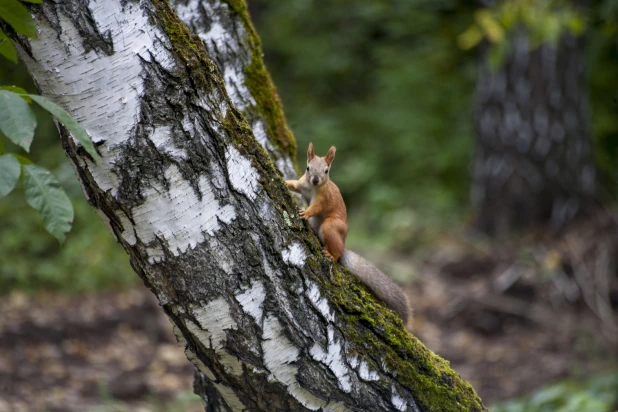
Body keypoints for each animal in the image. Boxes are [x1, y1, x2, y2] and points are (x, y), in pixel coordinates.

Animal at [284, 143, 410, 324]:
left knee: (335, 250)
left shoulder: (324, 198)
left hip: (331, 227)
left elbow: (316, 207)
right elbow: (294, 185)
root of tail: (343, 245)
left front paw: (306, 213)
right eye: (308, 168)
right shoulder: (302, 184)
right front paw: (285, 182)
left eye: (326, 170)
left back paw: (331, 255)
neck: (312, 187)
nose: (315, 180)